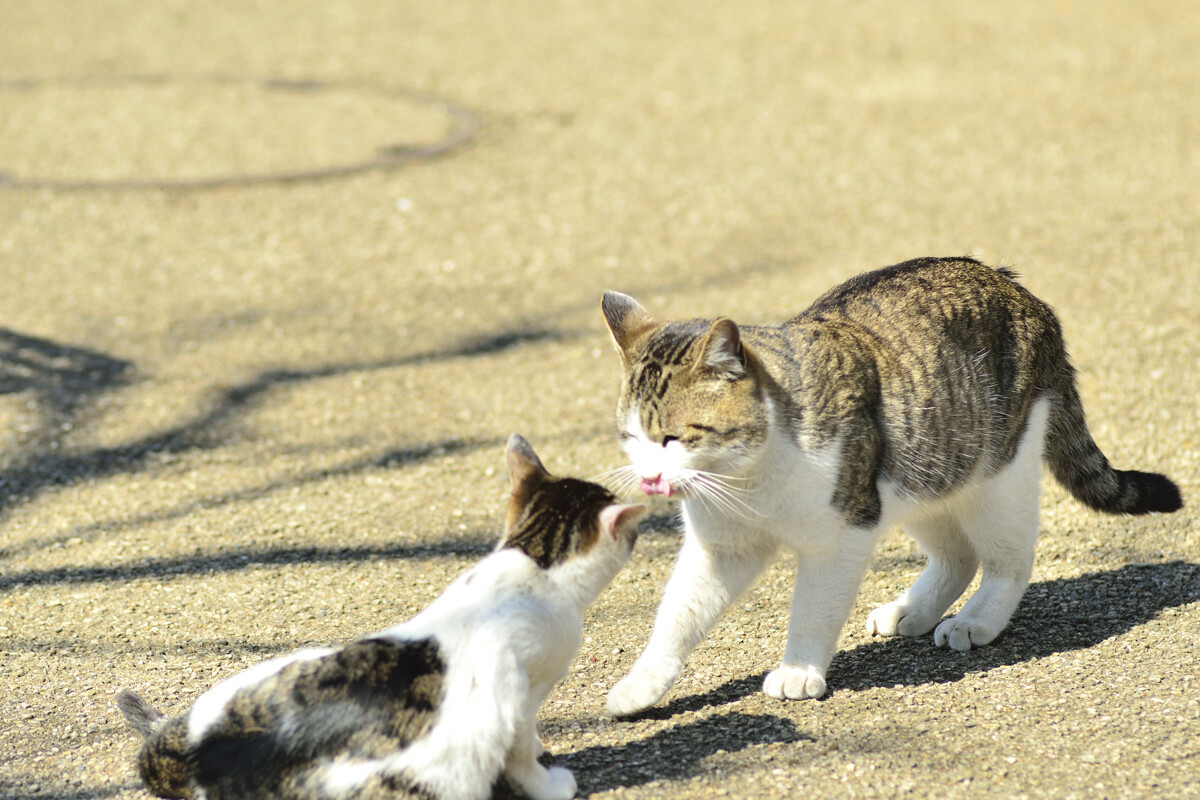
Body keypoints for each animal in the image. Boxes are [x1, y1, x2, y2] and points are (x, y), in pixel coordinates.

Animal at [600, 256, 1180, 714]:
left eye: (674, 438)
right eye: (631, 437)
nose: (649, 476)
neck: (747, 480)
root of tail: (1017, 289)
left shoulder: (843, 532)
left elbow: (813, 608)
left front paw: (799, 670)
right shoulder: (721, 548)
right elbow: (677, 615)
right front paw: (644, 681)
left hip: (995, 477)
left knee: (1007, 561)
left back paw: (977, 619)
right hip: (924, 475)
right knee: (956, 556)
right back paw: (913, 610)